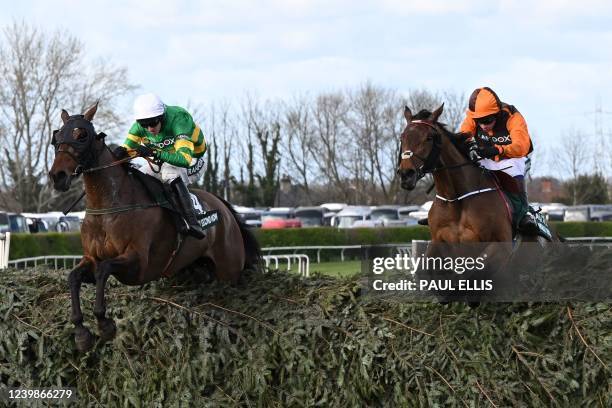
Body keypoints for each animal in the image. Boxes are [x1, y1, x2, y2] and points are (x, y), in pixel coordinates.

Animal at [49, 103, 260, 352]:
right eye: (57, 136)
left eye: (81, 135)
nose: (57, 176)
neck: (108, 207)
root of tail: (224, 208)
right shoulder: (91, 258)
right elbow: (73, 277)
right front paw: (81, 333)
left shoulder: (139, 264)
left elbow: (104, 270)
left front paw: (104, 324)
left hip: (229, 269)